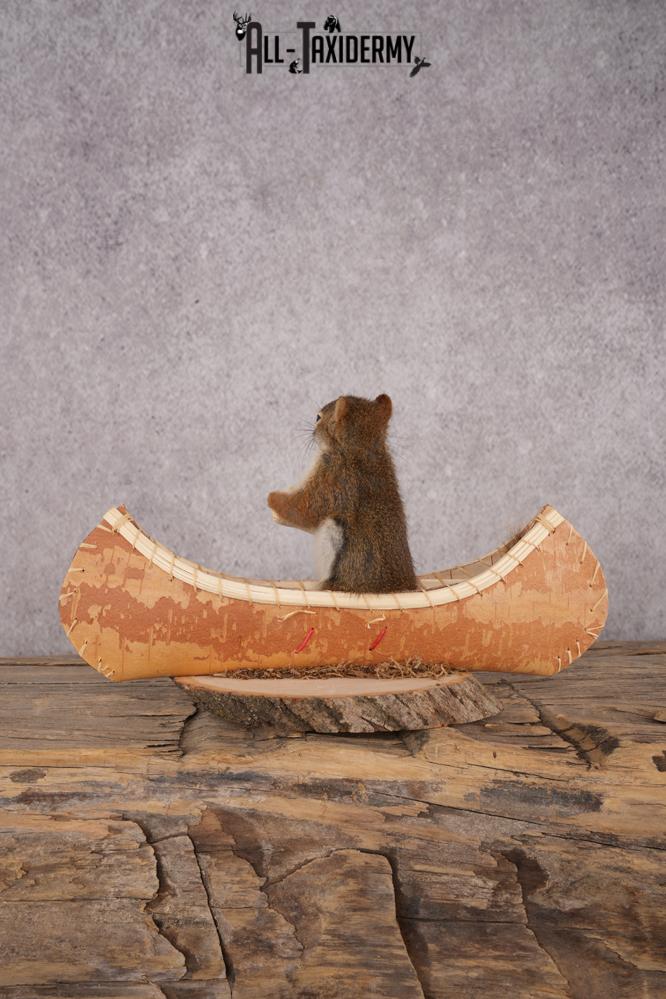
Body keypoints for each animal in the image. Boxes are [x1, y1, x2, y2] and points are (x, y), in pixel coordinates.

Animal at [267, 394, 418, 593]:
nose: (312, 429)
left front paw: (272, 499)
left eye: (318, 417)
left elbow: (303, 509)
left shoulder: (332, 480)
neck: (362, 449)